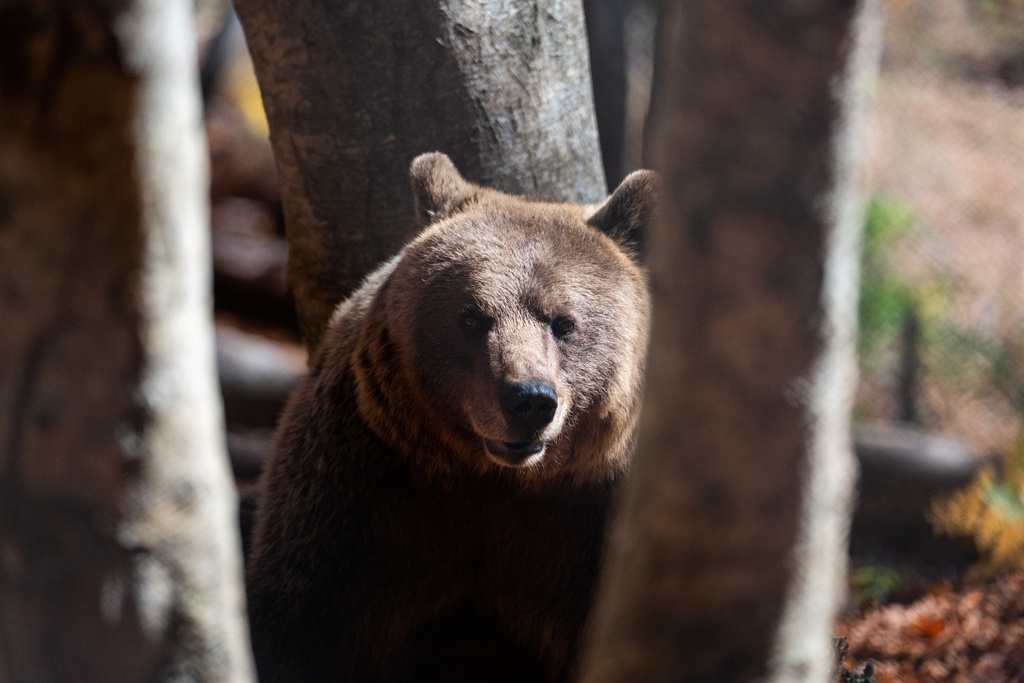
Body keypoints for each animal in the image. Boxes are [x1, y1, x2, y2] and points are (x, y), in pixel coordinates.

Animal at [246, 152, 657, 683]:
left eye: (564, 323)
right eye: (471, 317)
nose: (528, 400)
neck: (493, 480)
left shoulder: (592, 520)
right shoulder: (360, 498)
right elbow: (303, 622)